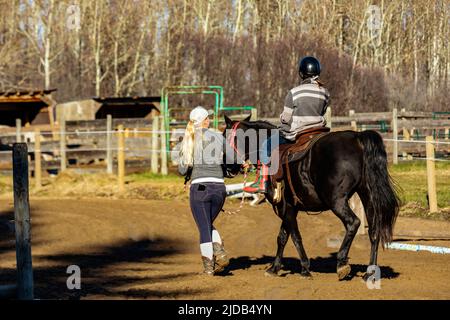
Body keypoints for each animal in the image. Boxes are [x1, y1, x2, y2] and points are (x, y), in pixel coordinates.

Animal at [223, 115, 400, 280]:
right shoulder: (290, 208)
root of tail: (357, 137)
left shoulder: (284, 207)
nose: (227, 168)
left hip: (336, 200)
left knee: (353, 222)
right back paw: (370, 273)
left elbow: (295, 236)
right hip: (367, 195)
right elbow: (282, 237)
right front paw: (274, 268)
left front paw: (304, 268)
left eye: (224, 135)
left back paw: (342, 263)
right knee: (374, 230)